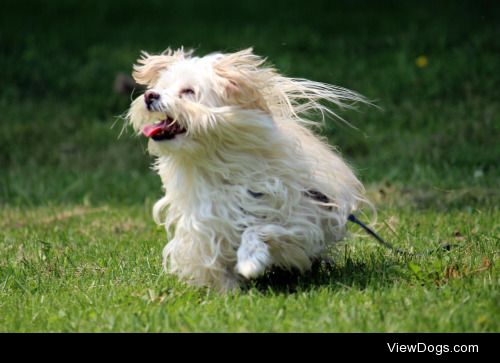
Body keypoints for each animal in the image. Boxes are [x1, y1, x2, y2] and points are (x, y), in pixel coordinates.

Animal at [128, 47, 372, 292]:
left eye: (188, 91)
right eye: (161, 87)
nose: (150, 96)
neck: (217, 163)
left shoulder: (300, 217)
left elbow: (260, 229)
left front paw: (250, 261)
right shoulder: (205, 223)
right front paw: (228, 290)